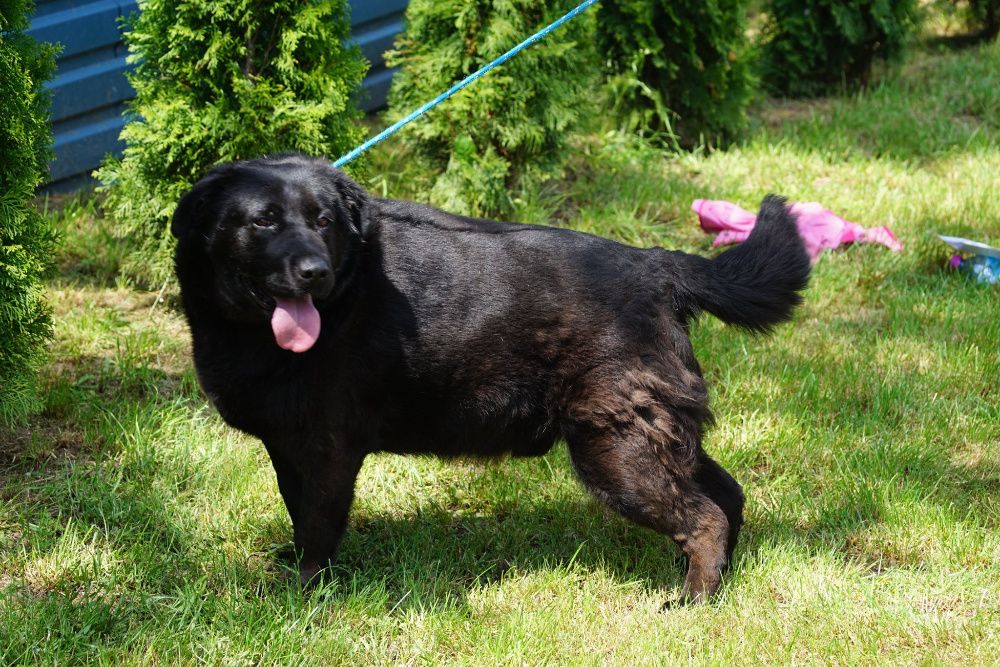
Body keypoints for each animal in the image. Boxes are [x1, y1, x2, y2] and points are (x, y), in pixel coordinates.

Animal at [172, 154, 812, 604]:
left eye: (323, 221)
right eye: (262, 221)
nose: (315, 272)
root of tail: (660, 265)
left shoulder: (330, 451)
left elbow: (316, 527)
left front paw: (305, 596)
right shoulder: (288, 447)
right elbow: (295, 508)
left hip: (617, 451)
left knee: (704, 516)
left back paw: (692, 601)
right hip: (655, 435)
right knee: (727, 496)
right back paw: (716, 580)